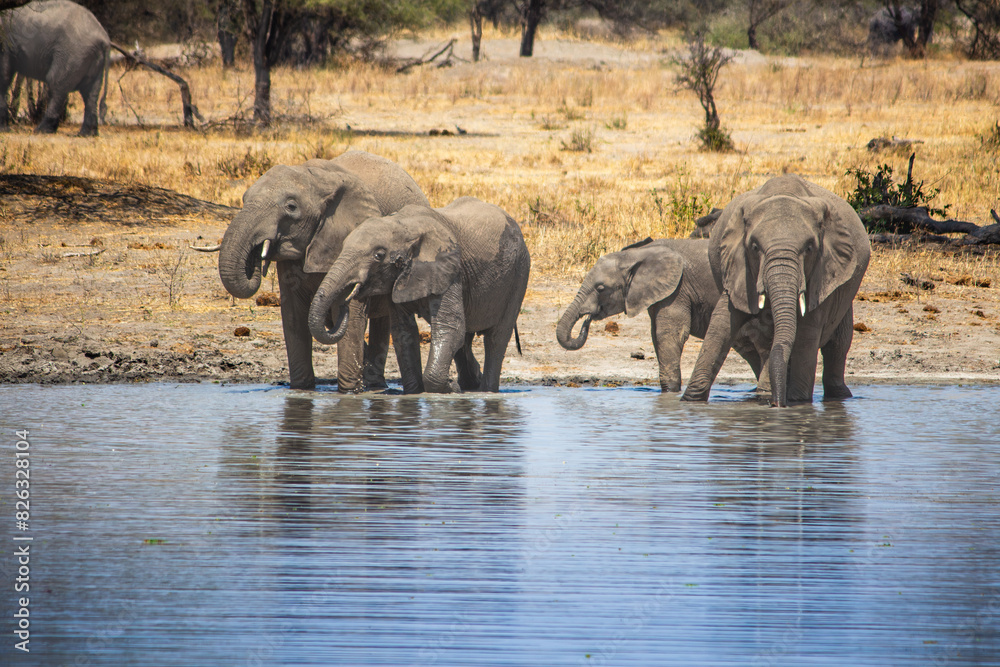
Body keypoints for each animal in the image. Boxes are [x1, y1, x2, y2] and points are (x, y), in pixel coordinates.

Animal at [0, 0, 110, 136]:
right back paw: (86, 134)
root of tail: (104, 39)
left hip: (73, 53)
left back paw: (42, 130)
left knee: (56, 85)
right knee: (90, 93)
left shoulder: (4, 42)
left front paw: (3, 129)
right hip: (92, 57)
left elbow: (3, 75)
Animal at [217, 150, 429, 391]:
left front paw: (349, 393)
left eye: (291, 207)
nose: (256, 255)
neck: (314, 177)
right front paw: (301, 390)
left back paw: (375, 386)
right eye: (244, 199)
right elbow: (293, 313)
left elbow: (351, 315)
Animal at [308, 197, 531, 394]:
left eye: (378, 255)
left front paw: (450, 388)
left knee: (496, 338)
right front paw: (415, 393)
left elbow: (450, 327)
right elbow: (403, 331)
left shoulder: (449, 268)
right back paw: (471, 386)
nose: (346, 301)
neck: (403, 226)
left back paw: (486, 391)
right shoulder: (399, 280)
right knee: (466, 339)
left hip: (519, 273)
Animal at [557, 237, 772, 393]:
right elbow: (656, 336)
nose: (587, 319)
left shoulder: (678, 289)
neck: (638, 253)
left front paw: (670, 392)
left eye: (601, 288)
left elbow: (668, 334)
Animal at [681, 174, 871, 407]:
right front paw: (690, 400)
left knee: (837, 345)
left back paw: (837, 396)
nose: (777, 405)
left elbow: (807, 332)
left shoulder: (823, 272)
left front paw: (798, 403)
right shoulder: (737, 267)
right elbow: (721, 323)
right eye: (754, 247)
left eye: (809, 248)